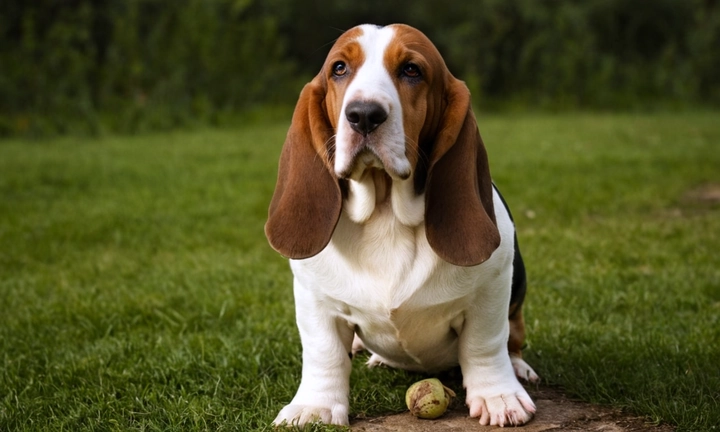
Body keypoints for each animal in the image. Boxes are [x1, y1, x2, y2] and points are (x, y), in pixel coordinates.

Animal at [268, 24, 536, 428]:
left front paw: (498, 396)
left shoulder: (491, 289)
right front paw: (314, 407)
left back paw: (519, 368)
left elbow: (485, 345)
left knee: (512, 338)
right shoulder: (315, 298)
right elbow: (323, 353)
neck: (386, 214)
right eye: (339, 68)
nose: (363, 114)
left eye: (411, 70)